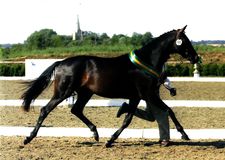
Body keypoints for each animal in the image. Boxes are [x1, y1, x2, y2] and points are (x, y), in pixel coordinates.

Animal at [21, 26, 200, 146]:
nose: (196, 57)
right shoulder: (147, 94)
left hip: (85, 93)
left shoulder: (136, 96)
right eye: (184, 41)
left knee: (76, 110)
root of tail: (61, 63)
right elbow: (168, 110)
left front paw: (111, 139)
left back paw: (95, 134)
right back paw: (28, 138)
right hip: (63, 92)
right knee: (45, 110)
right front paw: (184, 134)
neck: (146, 62)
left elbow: (128, 119)